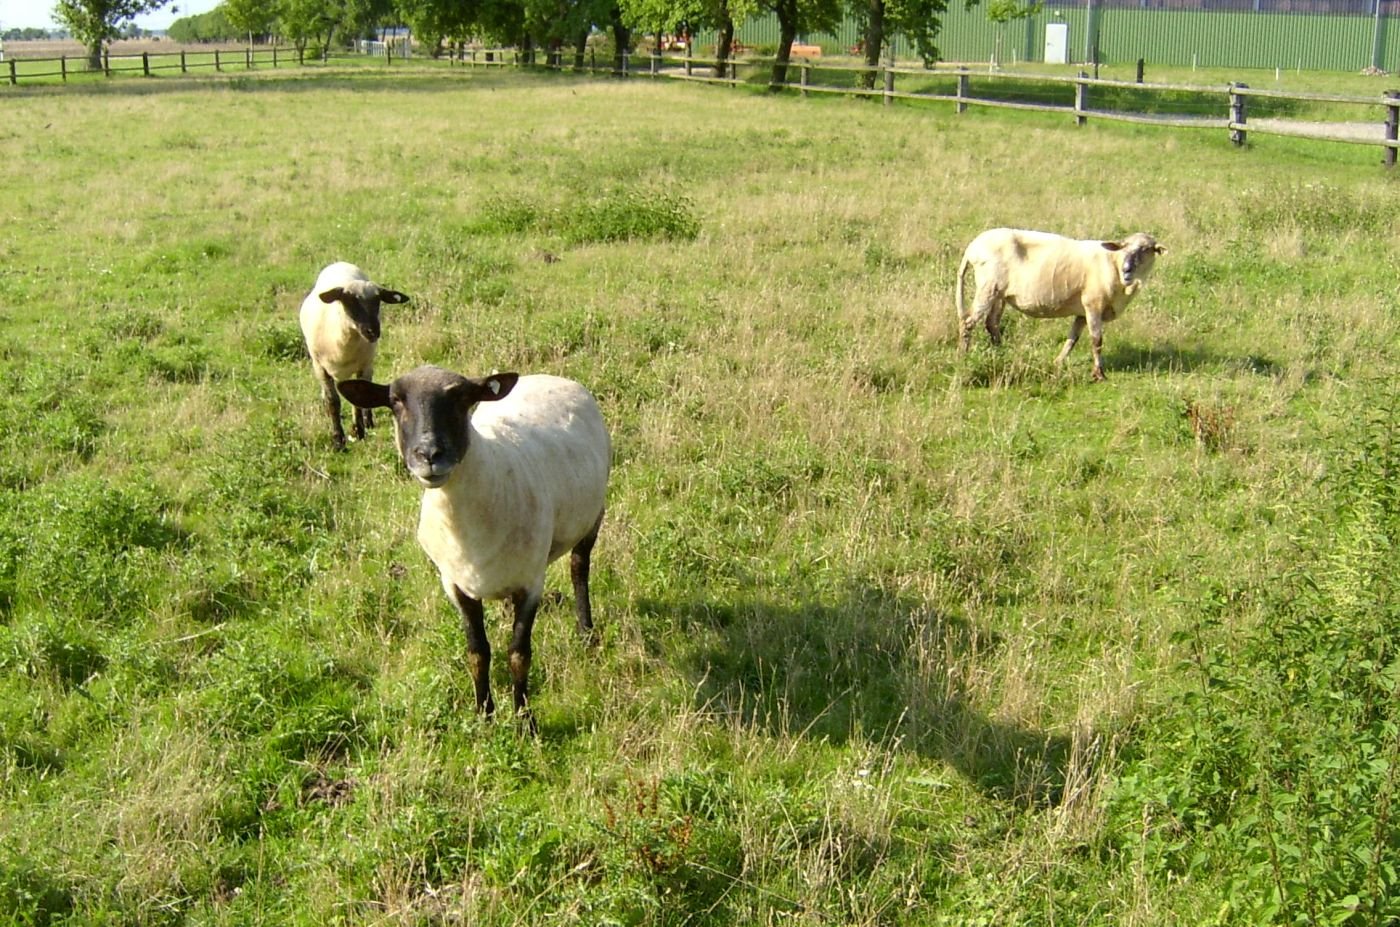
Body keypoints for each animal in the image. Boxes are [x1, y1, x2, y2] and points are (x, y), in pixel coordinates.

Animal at [299, 262, 410, 449]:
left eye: (378, 301)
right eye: (349, 300)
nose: (372, 331)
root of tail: (339, 263)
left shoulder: (363, 365)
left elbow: (357, 399)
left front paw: (358, 431)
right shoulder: (320, 367)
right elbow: (332, 401)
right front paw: (338, 440)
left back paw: (368, 421)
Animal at [338, 365, 611, 728]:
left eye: (461, 397)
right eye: (395, 401)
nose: (429, 455)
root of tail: (551, 377)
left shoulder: (532, 583)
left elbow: (518, 654)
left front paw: (525, 721)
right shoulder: (455, 585)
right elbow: (477, 653)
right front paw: (484, 715)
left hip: (592, 516)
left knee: (579, 568)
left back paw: (586, 631)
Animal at [955, 229, 1163, 381]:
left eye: (1147, 249)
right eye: (1123, 247)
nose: (1127, 269)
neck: (1114, 264)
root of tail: (972, 248)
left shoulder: (1083, 312)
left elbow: (1073, 338)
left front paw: (1058, 362)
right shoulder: (1093, 304)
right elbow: (1097, 341)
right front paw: (1099, 374)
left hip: (1000, 294)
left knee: (992, 323)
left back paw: (1001, 353)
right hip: (988, 287)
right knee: (968, 322)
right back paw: (963, 356)